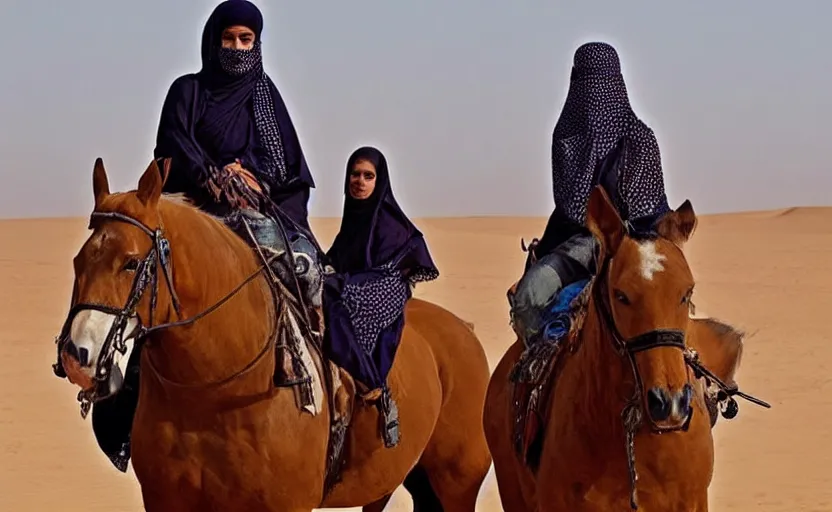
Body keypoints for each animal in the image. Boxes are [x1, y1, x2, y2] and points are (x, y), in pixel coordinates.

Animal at [55, 158, 494, 510]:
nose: (77, 355)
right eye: (77, 260)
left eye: (130, 263)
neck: (215, 392)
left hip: (457, 481)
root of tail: (466, 331)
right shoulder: (167, 501)